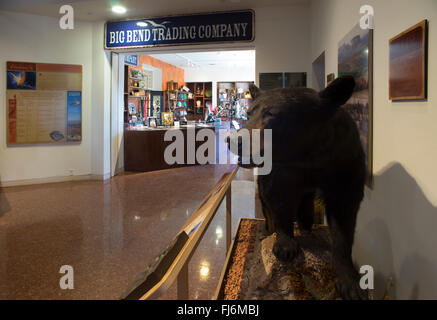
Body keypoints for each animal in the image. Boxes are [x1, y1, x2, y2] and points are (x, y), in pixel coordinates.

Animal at [227, 77, 366, 300]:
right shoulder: (281, 171)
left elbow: (344, 210)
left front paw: (350, 281)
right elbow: (278, 197)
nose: (234, 141)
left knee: (306, 204)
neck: (307, 156)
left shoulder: (344, 161)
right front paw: (285, 244)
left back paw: (307, 228)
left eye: (271, 114)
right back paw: (268, 230)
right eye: (249, 113)